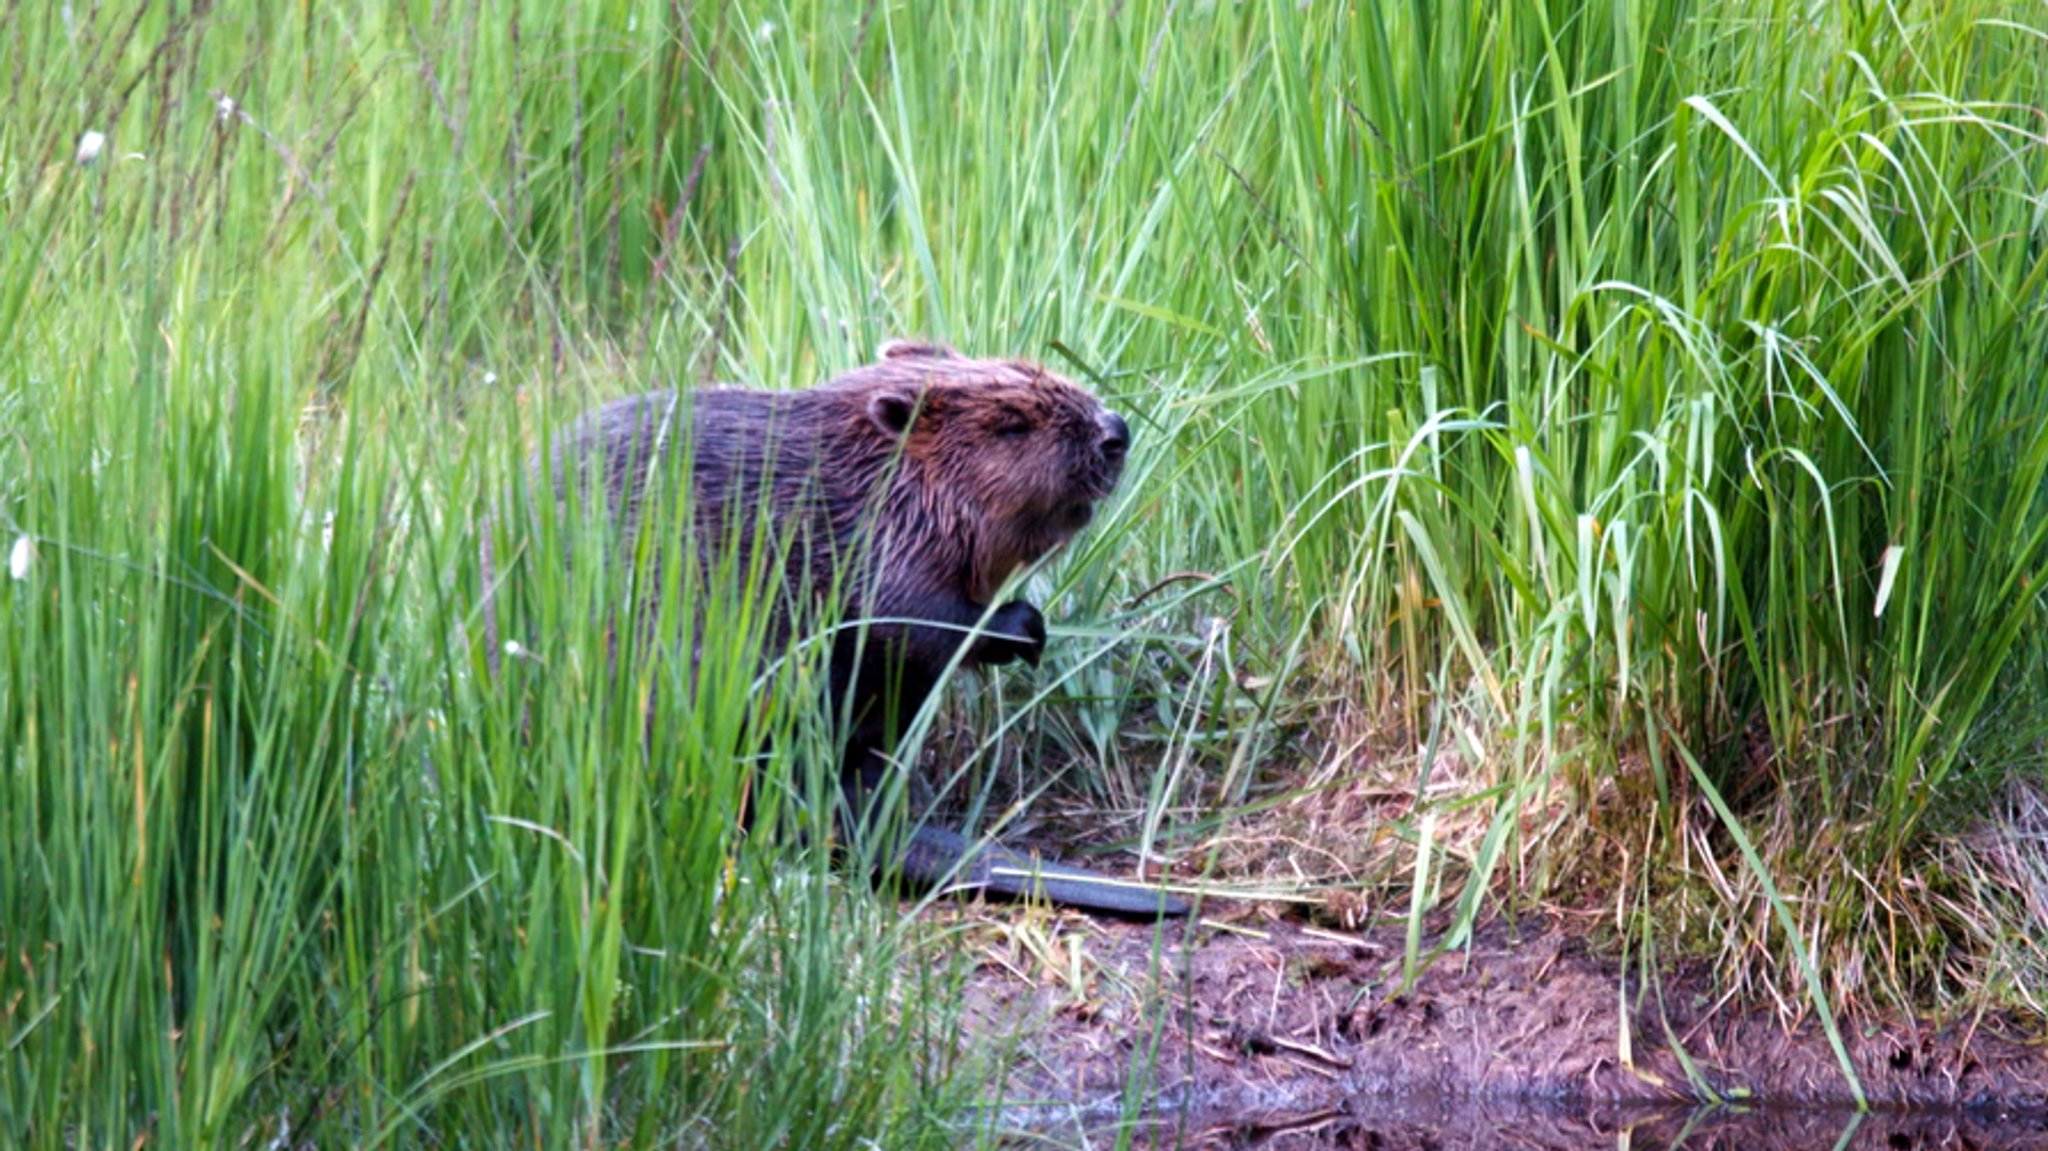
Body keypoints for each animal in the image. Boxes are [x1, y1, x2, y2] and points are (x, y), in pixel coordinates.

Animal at [536, 337, 1196, 913]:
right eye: (1013, 423)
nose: (1116, 429)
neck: (872, 473)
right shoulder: (871, 537)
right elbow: (911, 616)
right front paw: (1026, 629)